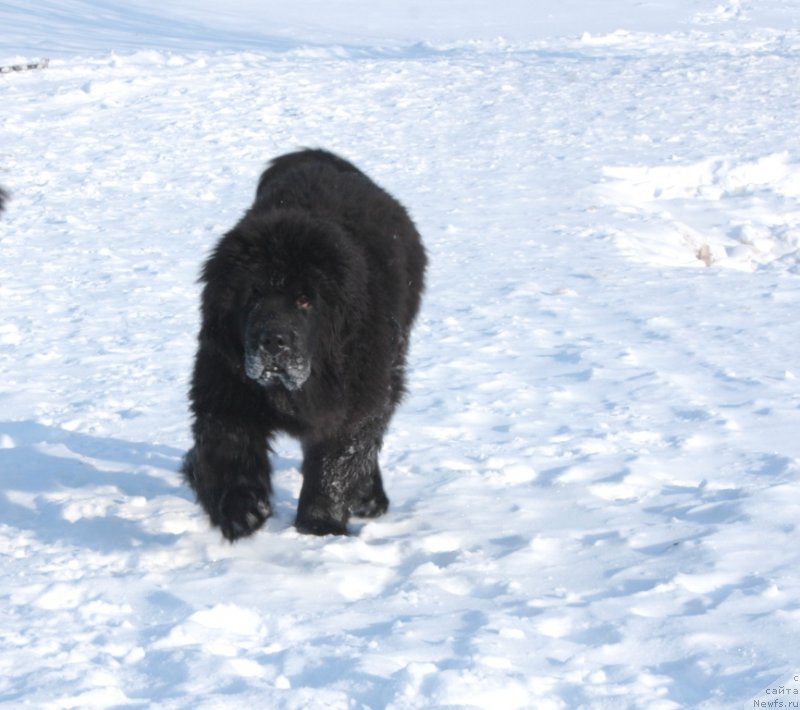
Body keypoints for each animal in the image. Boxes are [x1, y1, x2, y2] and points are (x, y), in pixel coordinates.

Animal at [184, 150, 428, 540]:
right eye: (253, 294)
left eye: (304, 300)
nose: (273, 340)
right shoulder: (223, 384)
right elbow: (226, 444)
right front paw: (242, 509)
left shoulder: (354, 402)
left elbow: (335, 464)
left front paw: (318, 526)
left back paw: (370, 497)